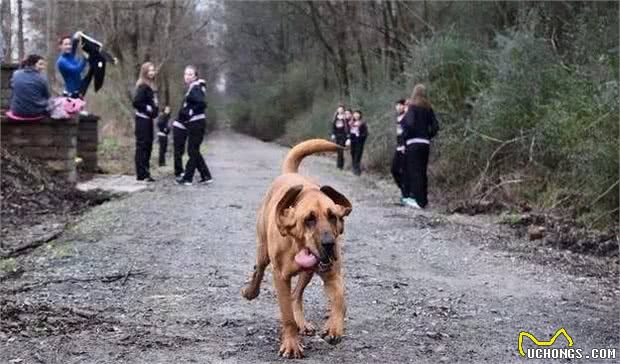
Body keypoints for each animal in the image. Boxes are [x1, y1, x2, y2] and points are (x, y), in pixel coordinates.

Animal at [241, 139, 352, 358]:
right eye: (309, 219)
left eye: (333, 217)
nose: (329, 244)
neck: (296, 244)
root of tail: (289, 173)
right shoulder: (280, 277)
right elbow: (287, 316)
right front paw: (291, 344)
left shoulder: (333, 274)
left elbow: (340, 300)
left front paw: (334, 328)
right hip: (263, 251)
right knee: (259, 270)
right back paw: (250, 291)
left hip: (307, 273)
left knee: (296, 296)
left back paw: (304, 323)